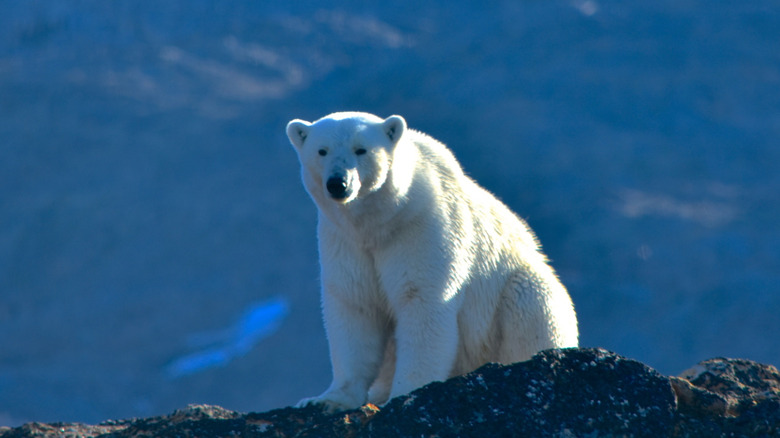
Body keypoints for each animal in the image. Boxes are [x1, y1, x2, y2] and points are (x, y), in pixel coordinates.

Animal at [285, 112, 578, 412]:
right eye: (322, 151)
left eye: (361, 149)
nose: (338, 183)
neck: (380, 222)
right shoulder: (344, 242)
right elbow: (355, 305)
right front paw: (325, 400)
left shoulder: (424, 228)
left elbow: (422, 302)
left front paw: (405, 393)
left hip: (513, 290)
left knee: (530, 303)